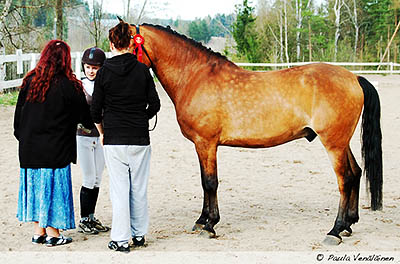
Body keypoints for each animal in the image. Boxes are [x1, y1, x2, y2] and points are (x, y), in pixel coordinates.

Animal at [126, 21, 382, 245]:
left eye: (124, 45)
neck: (195, 76)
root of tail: (354, 77)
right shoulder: (200, 145)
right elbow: (203, 182)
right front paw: (201, 221)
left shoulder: (206, 143)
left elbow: (210, 182)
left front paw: (210, 226)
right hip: (342, 142)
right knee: (356, 173)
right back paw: (348, 225)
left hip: (333, 143)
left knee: (345, 179)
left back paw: (335, 231)